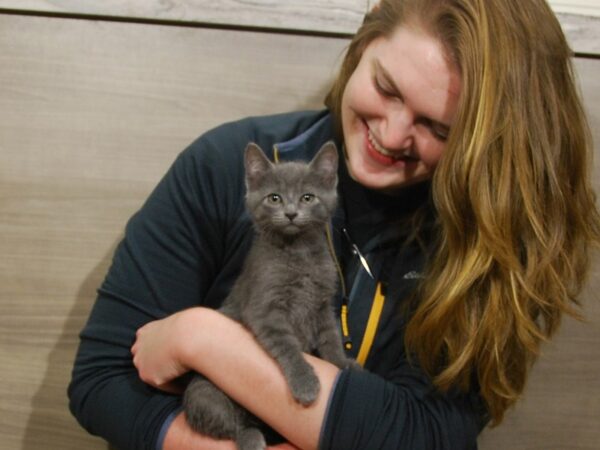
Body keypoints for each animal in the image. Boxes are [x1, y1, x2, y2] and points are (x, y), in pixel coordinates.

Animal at [183, 142, 352, 450]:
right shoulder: (265, 309)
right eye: (274, 198)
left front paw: (343, 364)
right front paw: (305, 383)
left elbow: (331, 338)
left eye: (307, 197)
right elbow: (288, 346)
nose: (291, 213)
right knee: (229, 425)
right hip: (204, 394)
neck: (299, 253)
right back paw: (251, 439)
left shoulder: (322, 305)